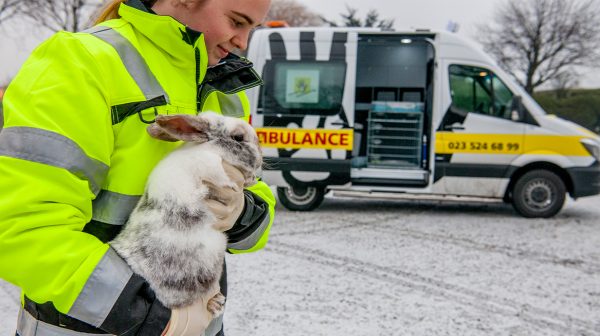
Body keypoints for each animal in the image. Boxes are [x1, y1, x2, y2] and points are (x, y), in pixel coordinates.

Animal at [109, 113, 262, 316]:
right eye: (238, 137)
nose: (260, 155)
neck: (211, 149)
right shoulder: (215, 170)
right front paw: (248, 180)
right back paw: (216, 305)